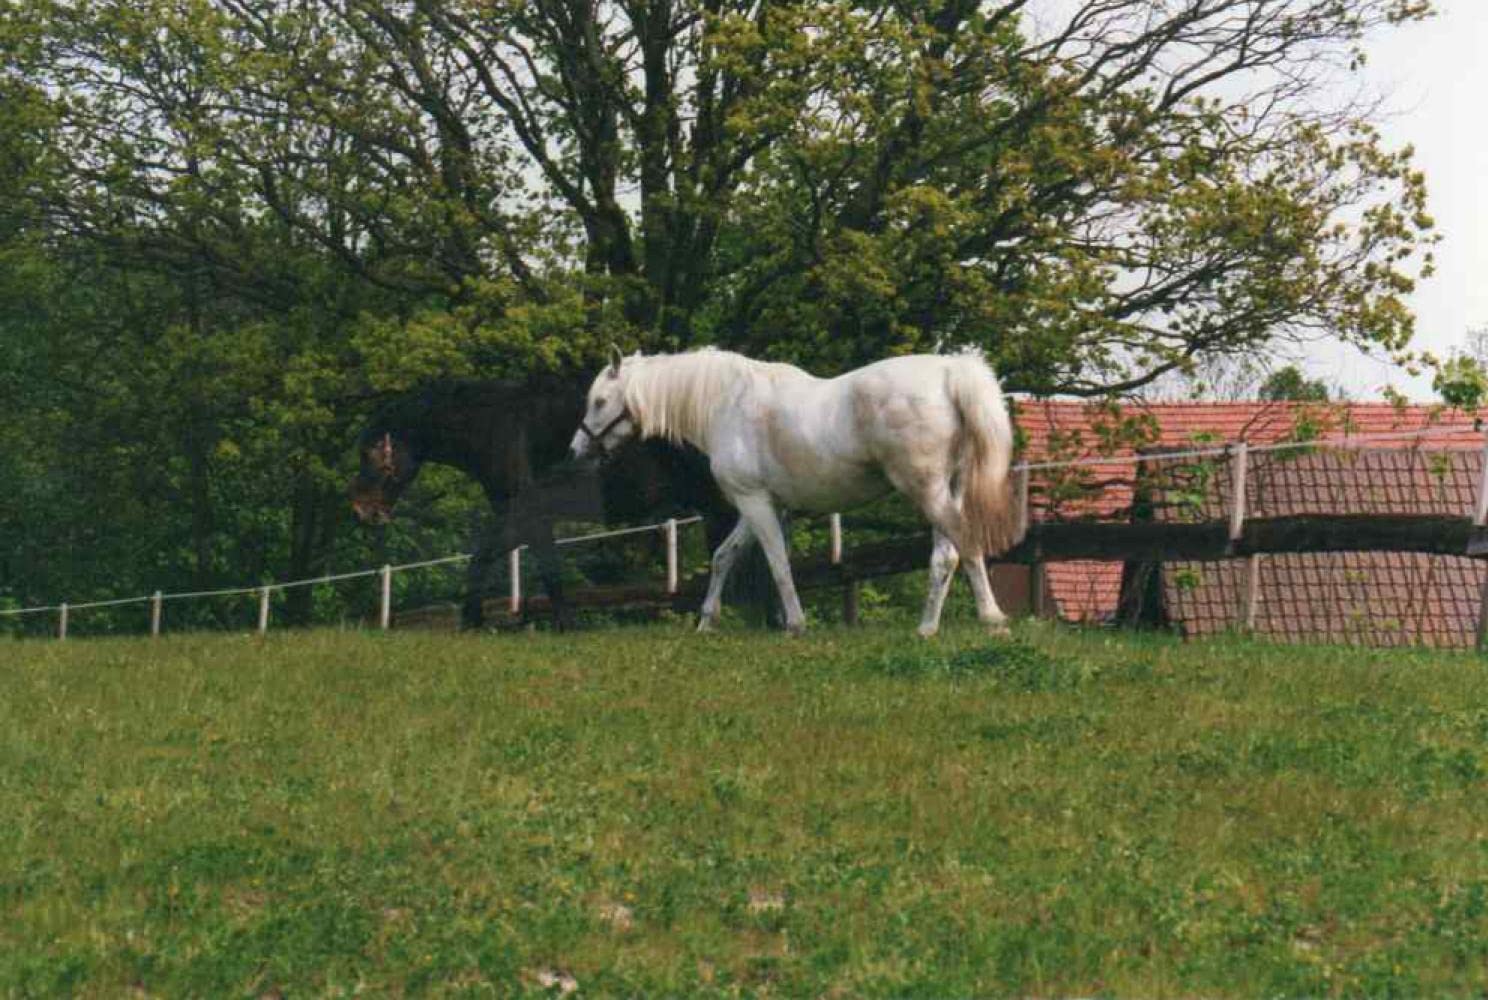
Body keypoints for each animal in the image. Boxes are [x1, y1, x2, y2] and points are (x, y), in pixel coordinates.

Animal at [348, 377, 736, 629]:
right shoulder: (517, 514)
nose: (361, 509)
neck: (495, 428)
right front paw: (474, 619)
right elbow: (496, 557)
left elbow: (525, 564)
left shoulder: (528, 513)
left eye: (370, 454)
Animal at [569, 347, 1020, 636]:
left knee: (963, 543)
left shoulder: (754, 501)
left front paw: (795, 625)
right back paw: (928, 628)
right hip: (945, 490)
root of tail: (948, 373)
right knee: (946, 556)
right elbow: (724, 557)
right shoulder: (763, 505)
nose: (577, 449)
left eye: (600, 401)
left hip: (925, 491)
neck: (726, 402)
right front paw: (706, 622)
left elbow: (778, 565)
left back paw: (990, 619)